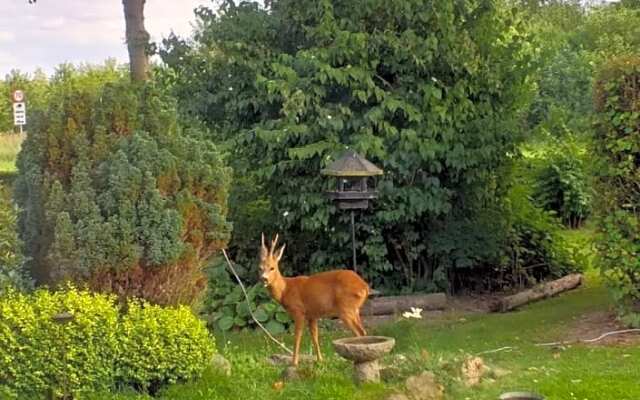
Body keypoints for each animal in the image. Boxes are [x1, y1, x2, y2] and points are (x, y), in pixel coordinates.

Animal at [260, 233, 370, 368]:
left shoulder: (299, 311)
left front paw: (294, 363)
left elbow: (297, 337)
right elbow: (315, 337)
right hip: (355, 309)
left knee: (359, 332)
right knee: (363, 332)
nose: (264, 279)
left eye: (272, 268)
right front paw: (320, 360)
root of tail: (364, 286)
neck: (285, 289)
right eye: (260, 268)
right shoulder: (312, 315)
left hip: (346, 308)